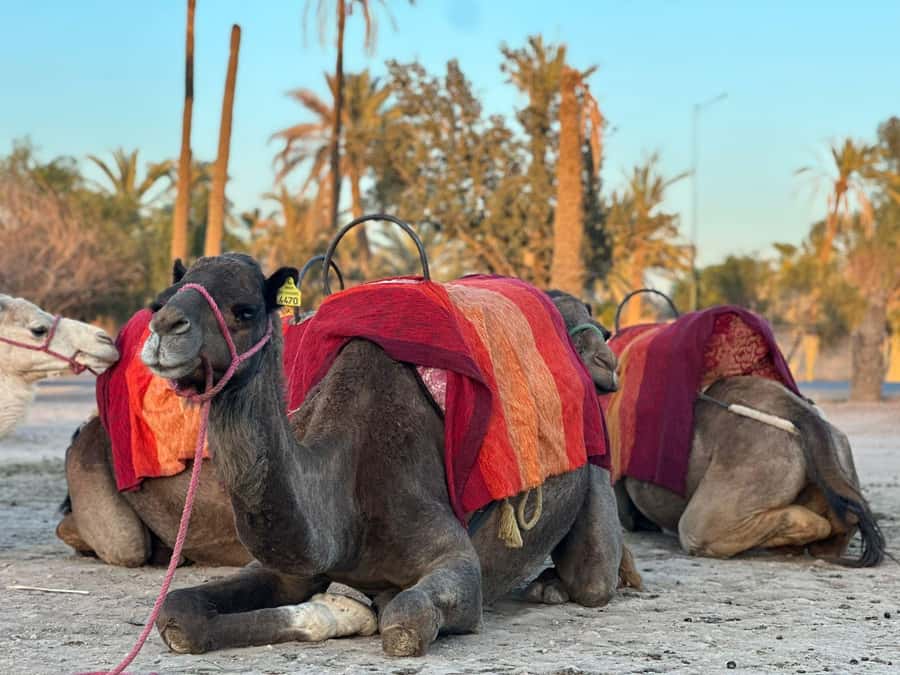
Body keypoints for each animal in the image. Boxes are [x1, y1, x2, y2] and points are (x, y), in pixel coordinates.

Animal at [134, 253, 630, 657]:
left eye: (245, 310)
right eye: (162, 301)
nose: (164, 329)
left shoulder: (455, 562)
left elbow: (404, 618)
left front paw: (363, 609)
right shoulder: (285, 570)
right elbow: (178, 612)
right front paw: (338, 611)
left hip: (598, 458)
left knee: (592, 582)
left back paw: (553, 587)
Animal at [552, 295, 885, 567]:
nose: (604, 365)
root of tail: (802, 417)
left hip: (744, 473)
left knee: (699, 529)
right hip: (838, 459)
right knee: (839, 522)